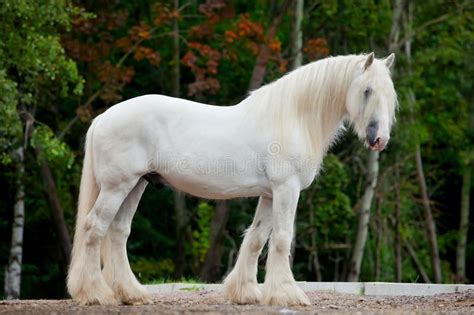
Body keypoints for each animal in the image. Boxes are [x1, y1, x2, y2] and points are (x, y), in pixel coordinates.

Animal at [66, 53, 398, 308]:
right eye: (367, 90)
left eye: (389, 94)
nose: (379, 139)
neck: (293, 117)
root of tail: (103, 118)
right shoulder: (286, 189)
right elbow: (281, 239)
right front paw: (287, 295)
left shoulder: (269, 194)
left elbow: (256, 238)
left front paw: (246, 293)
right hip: (117, 187)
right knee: (94, 229)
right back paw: (95, 294)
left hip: (136, 185)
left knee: (118, 233)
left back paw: (131, 294)